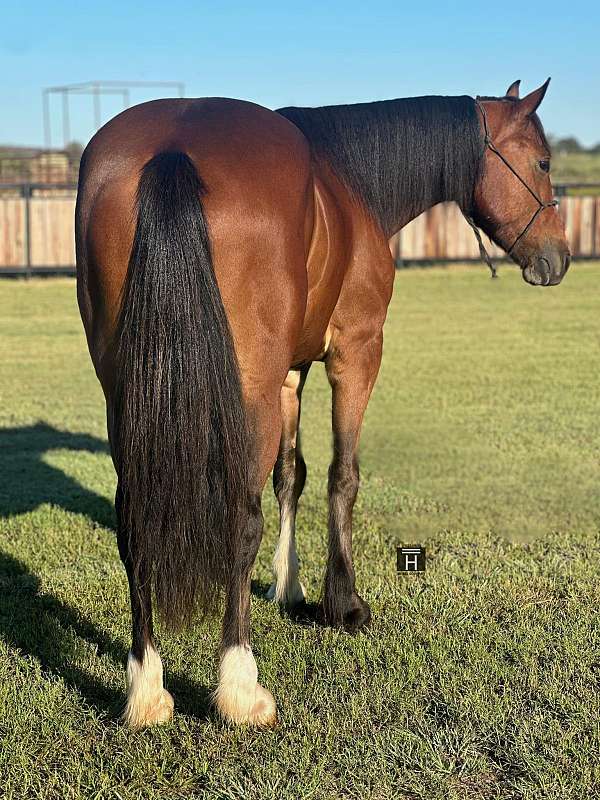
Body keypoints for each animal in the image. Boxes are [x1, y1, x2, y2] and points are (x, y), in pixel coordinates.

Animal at [74, 78, 568, 728]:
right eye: (542, 163)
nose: (558, 258)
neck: (349, 183)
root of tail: (171, 150)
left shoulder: (290, 373)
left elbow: (292, 475)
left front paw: (288, 585)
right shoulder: (355, 352)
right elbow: (342, 476)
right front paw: (344, 602)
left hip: (128, 398)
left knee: (136, 523)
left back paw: (147, 689)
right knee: (239, 522)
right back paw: (239, 687)